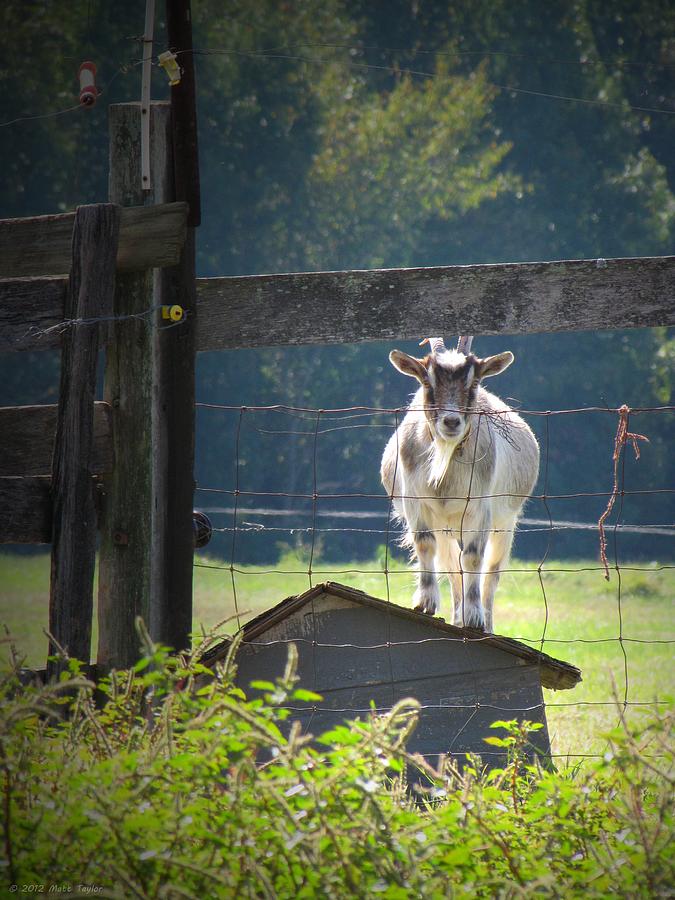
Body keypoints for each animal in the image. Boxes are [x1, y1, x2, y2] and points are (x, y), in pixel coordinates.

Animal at [382, 336, 540, 632]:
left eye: (474, 383)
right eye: (427, 382)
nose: (452, 421)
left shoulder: (480, 509)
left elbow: (474, 557)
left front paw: (474, 617)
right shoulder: (416, 503)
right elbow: (425, 544)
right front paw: (426, 602)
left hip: (505, 523)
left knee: (491, 572)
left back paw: (486, 623)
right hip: (447, 527)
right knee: (452, 566)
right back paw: (456, 616)